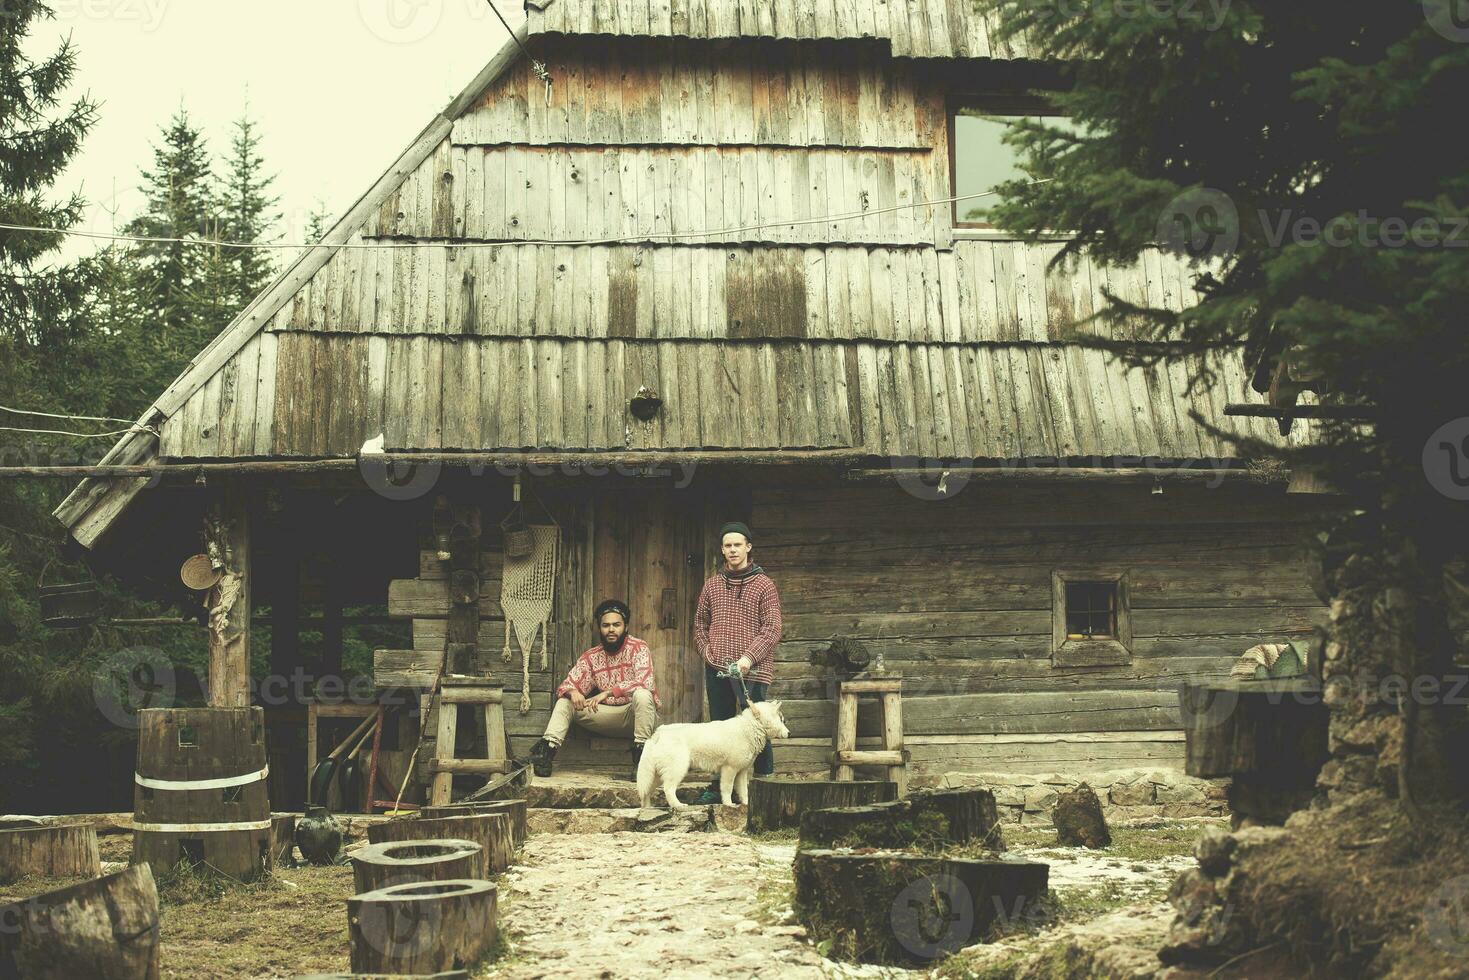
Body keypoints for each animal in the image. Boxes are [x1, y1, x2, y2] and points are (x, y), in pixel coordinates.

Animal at [634, 702, 787, 811]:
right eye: (781, 720)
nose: (789, 733)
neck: (749, 728)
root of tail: (658, 733)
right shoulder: (729, 769)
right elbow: (727, 789)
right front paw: (729, 804)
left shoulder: (741, 772)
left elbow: (744, 791)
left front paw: (747, 804)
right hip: (677, 771)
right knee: (668, 789)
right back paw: (678, 805)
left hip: (656, 775)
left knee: (646, 792)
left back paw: (647, 808)